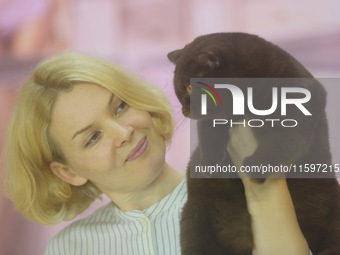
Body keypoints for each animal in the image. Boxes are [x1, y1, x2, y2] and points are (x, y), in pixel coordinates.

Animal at [168, 31, 340, 255]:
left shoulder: (298, 108)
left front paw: (255, 167)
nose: (183, 110)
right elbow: (208, 132)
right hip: (194, 215)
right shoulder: (214, 121)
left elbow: (282, 140)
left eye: (189, 88)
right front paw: (210, 162)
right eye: (179, 90)